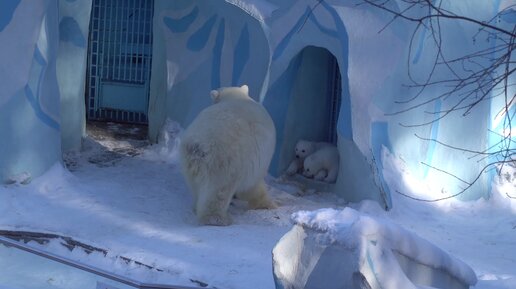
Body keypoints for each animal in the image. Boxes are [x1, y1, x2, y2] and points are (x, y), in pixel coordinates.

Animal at [179, 85, 276, 225]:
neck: (236, 97)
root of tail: (201, 145)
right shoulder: (254, 159)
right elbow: (253, 185)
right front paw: (266, 205)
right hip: (225, 161)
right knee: (219, 190)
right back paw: (218, 219)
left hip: (189, 160)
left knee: (196, 185)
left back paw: (197, 207)